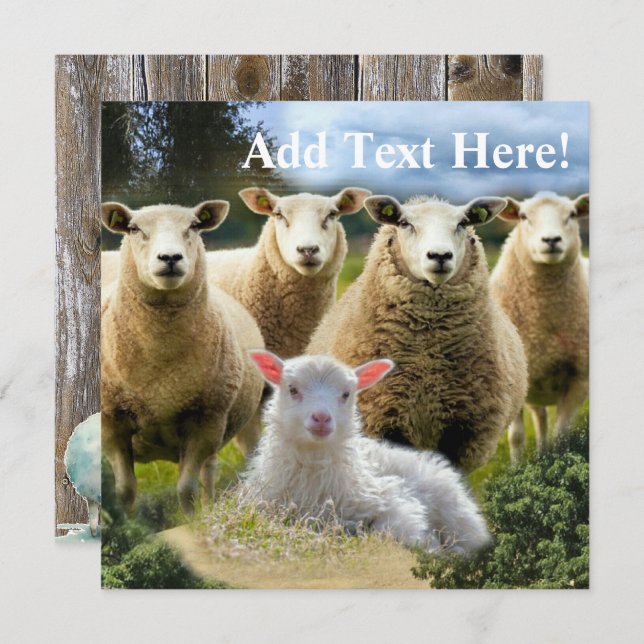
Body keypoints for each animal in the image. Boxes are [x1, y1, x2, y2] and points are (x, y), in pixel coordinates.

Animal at [100, 199, 264, 514]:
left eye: (194, 226)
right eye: (134, 228)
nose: (170, 257)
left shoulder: (205, 421)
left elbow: (186, 489)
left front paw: (191, 519)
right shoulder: (111, 421)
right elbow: (125, 489)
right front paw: (124, 521)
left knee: (208, 473)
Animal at [244, 351, 491, 554]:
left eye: (346, 394)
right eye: (292, 389)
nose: (321, 418)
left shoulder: (391, 499)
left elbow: (391, 529)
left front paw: (430, 546)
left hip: (456, 514)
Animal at [307, 194, 528, 473]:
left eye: (463, 223)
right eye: (404, 223)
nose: (440, 255)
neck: (427, 357)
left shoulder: (462, 429)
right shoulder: (383, 419)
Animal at [490, 191, 589, 463]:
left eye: (572, 214)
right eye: (524, 216)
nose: (551, 240)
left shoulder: (579, 379)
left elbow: (561, 437)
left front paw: (557, 462)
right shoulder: (513, 380)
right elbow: (516, 437)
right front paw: (517, 469)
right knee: (541, 420)